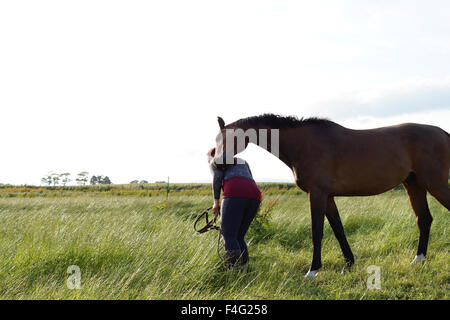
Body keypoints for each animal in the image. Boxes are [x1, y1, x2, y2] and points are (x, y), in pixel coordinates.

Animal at [214, 114, 450, 278]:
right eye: (216, 140)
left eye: (232, 139)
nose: (218, 163)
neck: (303, 144)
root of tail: (443, 133)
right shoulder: (328, 197)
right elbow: (338, 229)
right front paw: (349, 264)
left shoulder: (317, 194)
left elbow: (317, 232)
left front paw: (312, 270)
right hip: (414, 185)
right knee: (424, 219)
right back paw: (418, 260)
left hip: (435, 184)